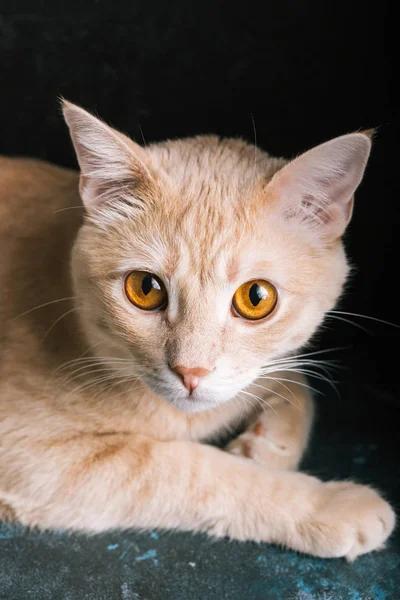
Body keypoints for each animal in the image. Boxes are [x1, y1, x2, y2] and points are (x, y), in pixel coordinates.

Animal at [0, 101, 394, 560]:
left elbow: (295, 384)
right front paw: (327, 504)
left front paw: (266, 445)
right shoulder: (34, 455)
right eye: (145, 288)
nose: (191, 373)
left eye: (256, 298)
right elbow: (199, 471)